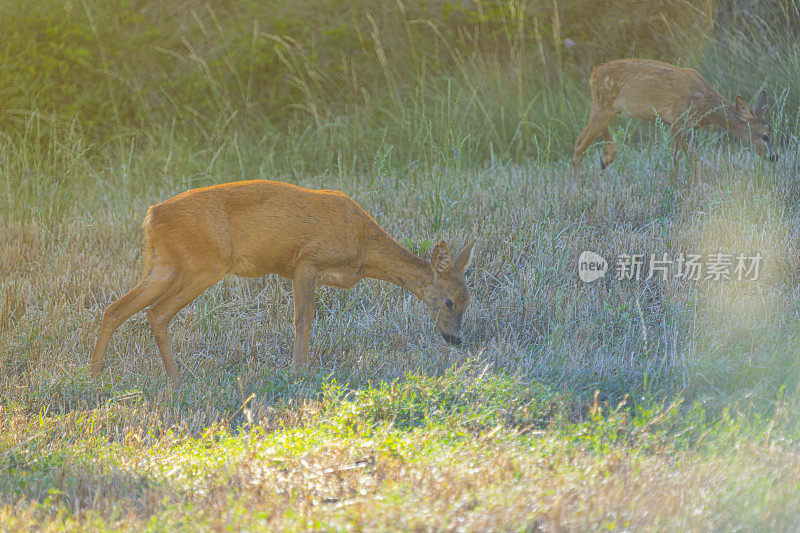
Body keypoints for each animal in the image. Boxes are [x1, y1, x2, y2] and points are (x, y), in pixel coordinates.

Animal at [89, 179, 476, 382]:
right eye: (449, 301)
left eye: (468, 301)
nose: (455, 339)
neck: (363, 247)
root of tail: (151, 216)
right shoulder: (306, 260)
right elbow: (303, 320)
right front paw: (298, 372)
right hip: (204, 264)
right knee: (156, 313)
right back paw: (177, 380)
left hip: (163, 264)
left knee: (115, 308)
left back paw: (93, 376)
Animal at [572, 58, 780, 179]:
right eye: (764, 136)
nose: (774, 156)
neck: (706, 105)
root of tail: (593, 75)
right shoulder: (680, 120)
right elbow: (682, 158)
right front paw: (679, 189)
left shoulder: (684, 126)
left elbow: (687, 158)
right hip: (603, 106)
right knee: (579, 145)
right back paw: (577, 190)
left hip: (605, 107)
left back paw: (605, 161)